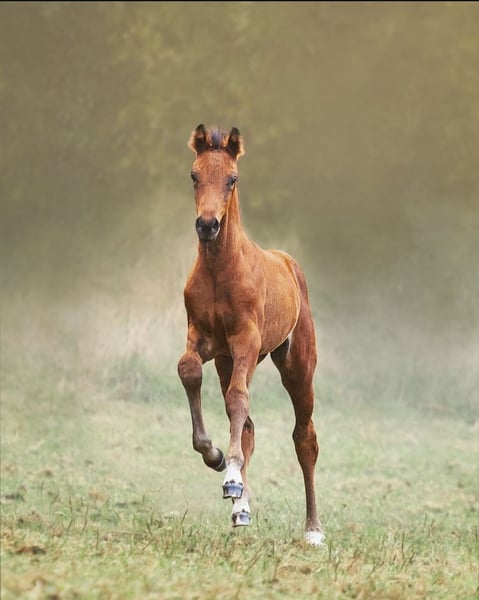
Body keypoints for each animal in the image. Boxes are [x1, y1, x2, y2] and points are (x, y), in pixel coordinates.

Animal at [177, 124, 325, 546]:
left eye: (232, 178)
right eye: (194, 175)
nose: (207, 225)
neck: (220, 270)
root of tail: (288, 262)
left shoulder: (245, 340)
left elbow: (237, 400)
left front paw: (229, 477)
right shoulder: (205, 340)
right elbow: (188, 371)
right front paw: (214, 457)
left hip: (296, 367)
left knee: (304, 437)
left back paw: (312, 529)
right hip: (229, 361)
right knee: (248, 428)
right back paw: (240, 509)